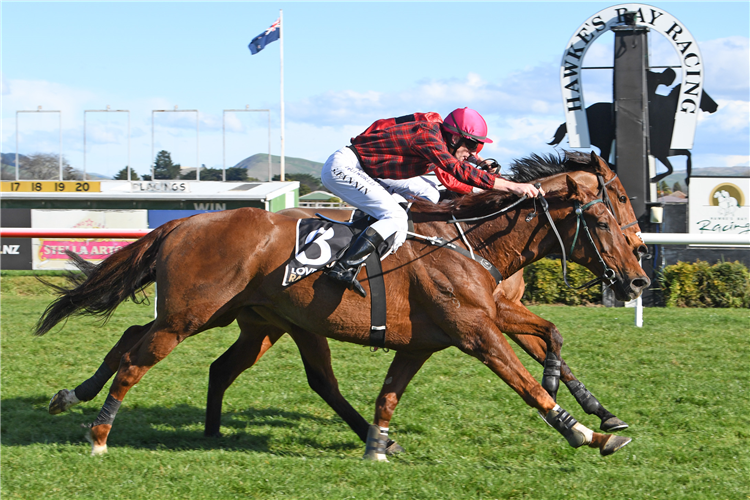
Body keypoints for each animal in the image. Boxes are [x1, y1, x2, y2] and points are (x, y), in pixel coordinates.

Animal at [38, 159, 648, 458]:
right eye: (604, 215)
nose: (639, 274)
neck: (467, 240)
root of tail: (183, 223)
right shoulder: (477, 329)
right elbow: (527, 381)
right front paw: (588, 433)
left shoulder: (438, 335)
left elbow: (392, 392)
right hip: (192, 315)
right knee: (137, 357)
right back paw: (99, 434)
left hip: (254, 320)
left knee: (171, 347)